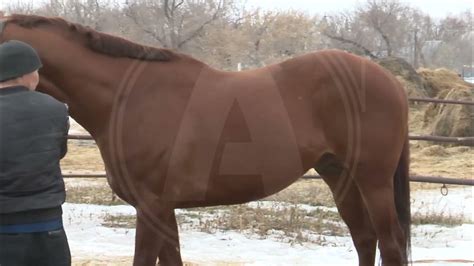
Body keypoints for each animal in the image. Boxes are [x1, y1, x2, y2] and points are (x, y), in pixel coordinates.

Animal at [0, 14, 410, 266]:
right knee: (364, 238)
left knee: (389, 243)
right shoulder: (162, 209)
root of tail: (390, 81)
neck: (127, 98)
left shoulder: (152, 206)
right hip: (340, 176)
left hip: (372, 181)